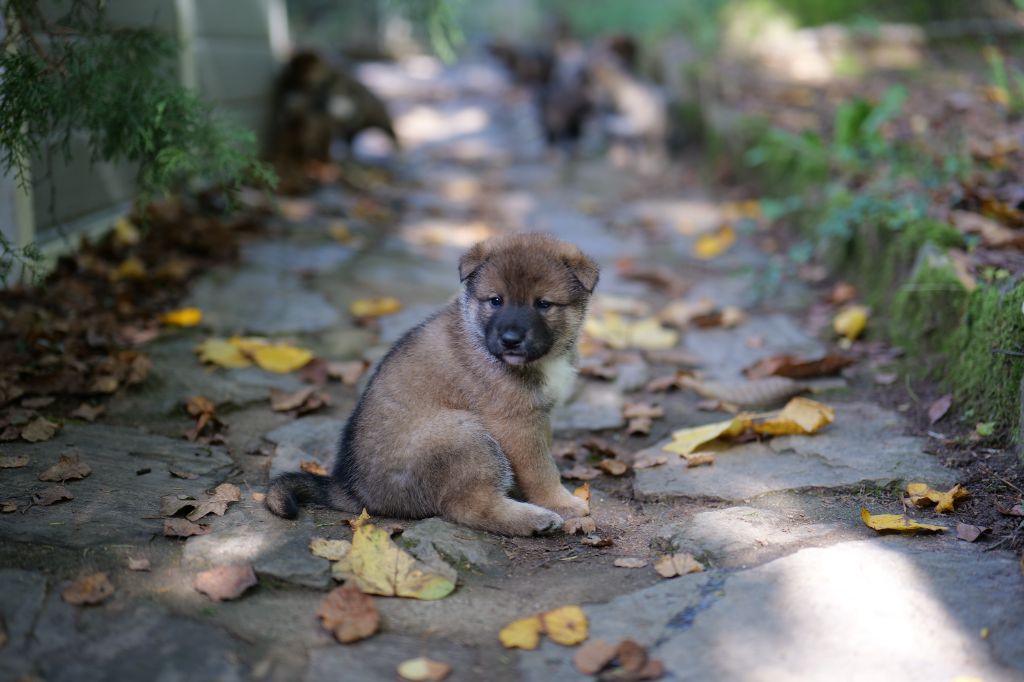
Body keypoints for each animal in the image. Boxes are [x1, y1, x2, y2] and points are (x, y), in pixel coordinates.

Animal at [266, 236, 598, 532]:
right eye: (496, 300)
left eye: (543, 304)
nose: (510, 340)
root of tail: (352, 490)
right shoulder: (515, 423)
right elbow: (541, 470)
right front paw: (561, 503)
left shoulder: (540, 414)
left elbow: (544, 452)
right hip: (461, 434)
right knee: (470, 507)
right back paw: (535, 520)